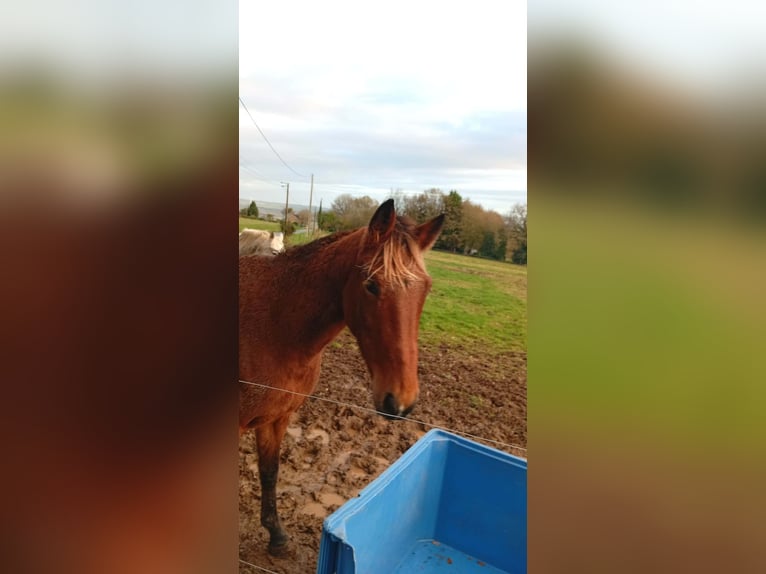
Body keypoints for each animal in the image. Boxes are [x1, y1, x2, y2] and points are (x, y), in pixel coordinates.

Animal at [239, 199, 444, 555]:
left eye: (426, 289)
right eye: (371, 285)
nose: (400, 401)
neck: (270, 324)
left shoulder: (276, 419)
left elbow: (269, 472)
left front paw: (276, 535)